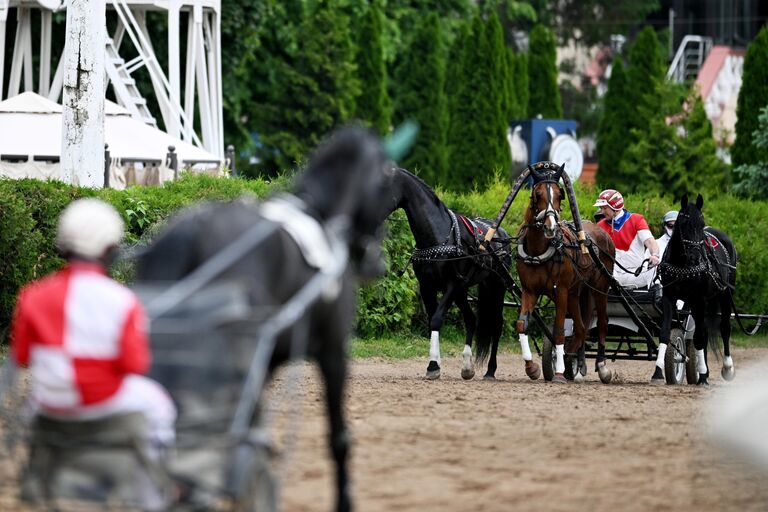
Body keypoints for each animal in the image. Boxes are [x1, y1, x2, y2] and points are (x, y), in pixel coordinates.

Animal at [382, 168, 512, 380]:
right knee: (471, 319)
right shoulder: (428, 286)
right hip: (464, 291)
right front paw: (434, 364)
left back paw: (491, 370)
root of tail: (503, 233)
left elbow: (436, 319)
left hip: (497, 286)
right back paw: (467, 367)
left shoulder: (452, 285)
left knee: (496, 325)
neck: (438, 235)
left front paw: (433, 365)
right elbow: (431, 322)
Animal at [512, 164, 616, 384]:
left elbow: (559, 330)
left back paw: (600, 366)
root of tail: (602, 233)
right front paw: (532, 367)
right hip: (576, 293)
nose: (550, 227)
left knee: (602, 323)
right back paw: (573, 360)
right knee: (581, 328)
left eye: (560, 194)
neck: (538, 250)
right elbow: (522, 324)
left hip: (600, 287)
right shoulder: (529, 290)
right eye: (537, 194)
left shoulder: (560, 291)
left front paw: (559, 372)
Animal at [656, 194, 736, 386]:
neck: (683, 264)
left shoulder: (699, 299)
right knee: (704, 332)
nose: (695, 256)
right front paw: (657, 372)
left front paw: (704, 375)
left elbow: (699, 338)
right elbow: (665, 333)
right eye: (684, 223)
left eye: (701, 223)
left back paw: (725, 368)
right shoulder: (670, 298)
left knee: (723, 328)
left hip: (724, 295)